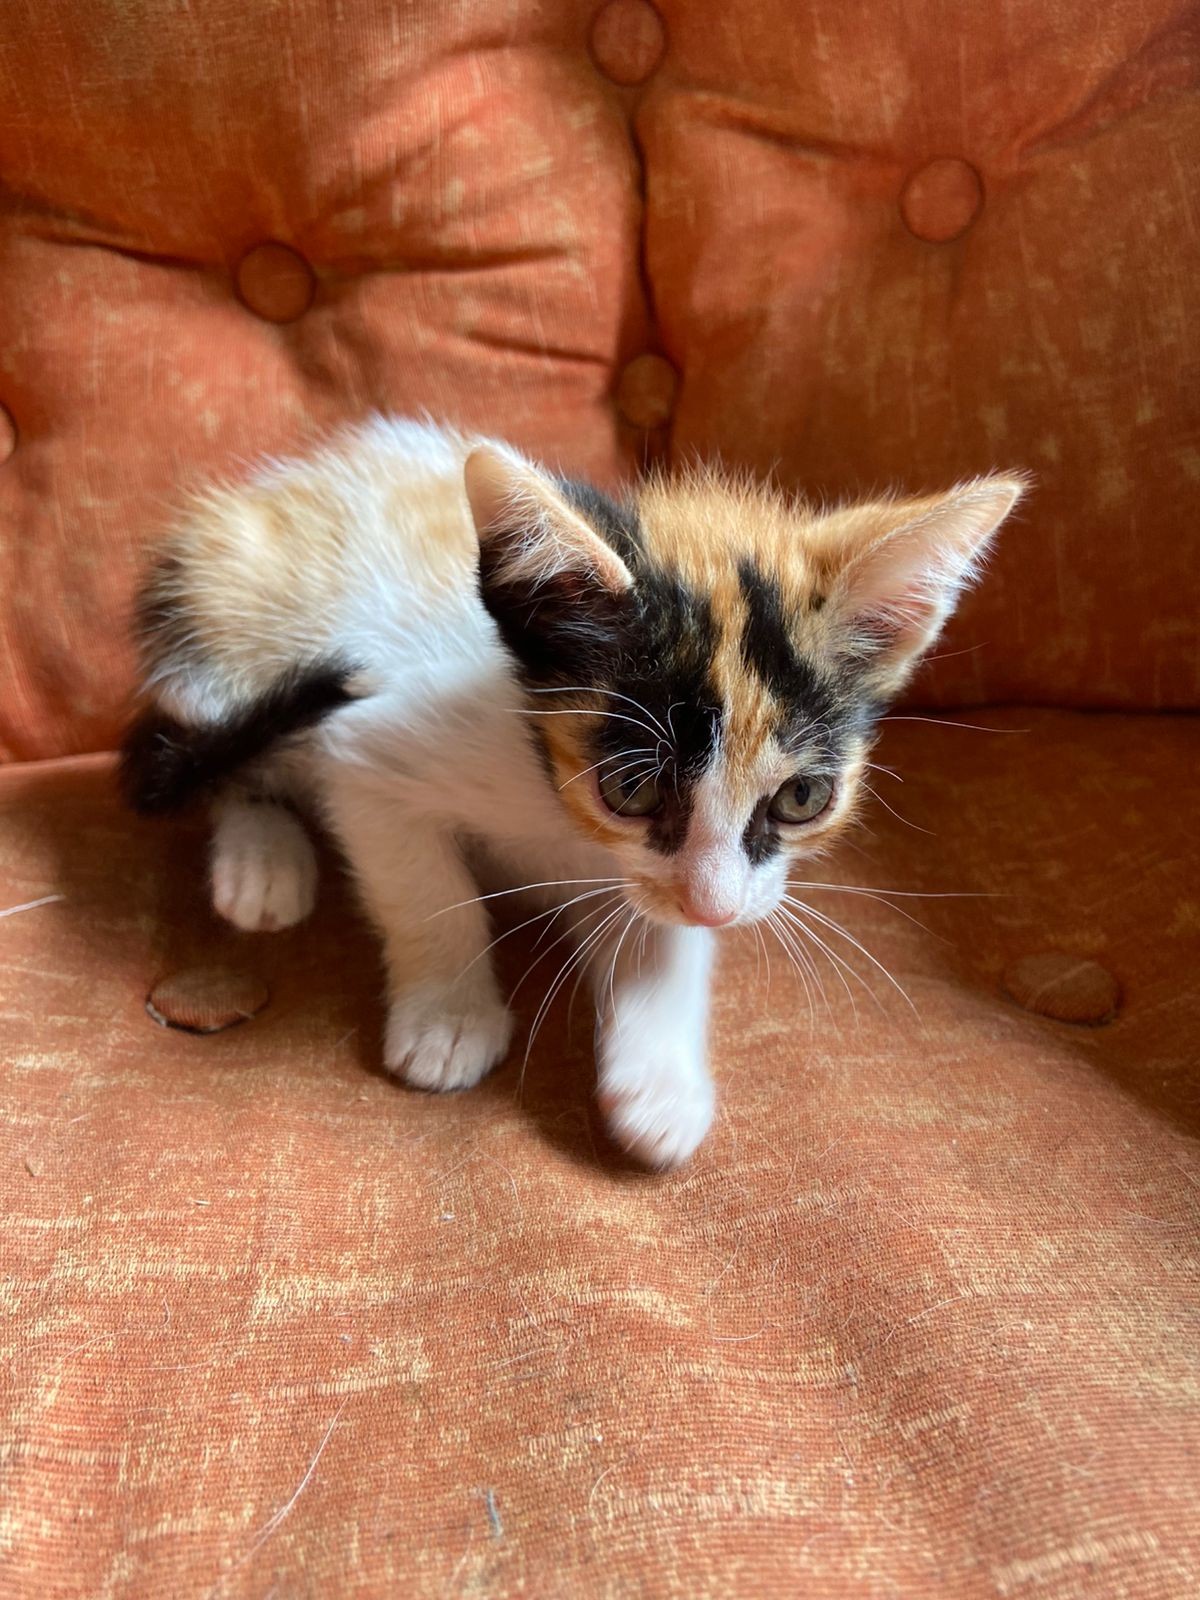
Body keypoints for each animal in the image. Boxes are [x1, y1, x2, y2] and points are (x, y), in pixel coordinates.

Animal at [121, 417, 1025, 1167]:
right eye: (630, 788)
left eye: (802, 799)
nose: (717, 907)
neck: (558, 810)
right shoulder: (370, 749)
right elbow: (428, 896)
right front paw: (450, 1017)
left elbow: (665, 937)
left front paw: (660, 1084)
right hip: (223, 646)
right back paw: (263, 864)